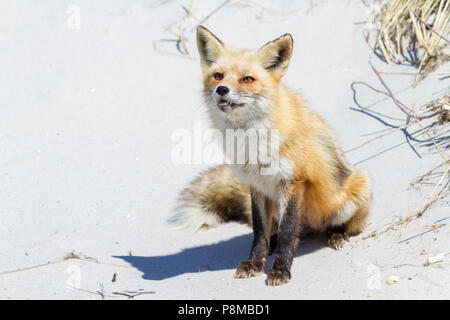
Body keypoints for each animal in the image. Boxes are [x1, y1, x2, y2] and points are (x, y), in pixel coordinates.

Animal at [171, 26, 370, 284]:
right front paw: (256, 263)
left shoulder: (293, 182)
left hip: (355, 191)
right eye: (218, 76)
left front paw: (281, 270)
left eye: (247, 79)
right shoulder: (256, 186)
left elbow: (288, 232)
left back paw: (336, 235)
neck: (251, 142)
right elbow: (259, 232)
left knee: (336, 227)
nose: (221, 90)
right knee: (293, 233)